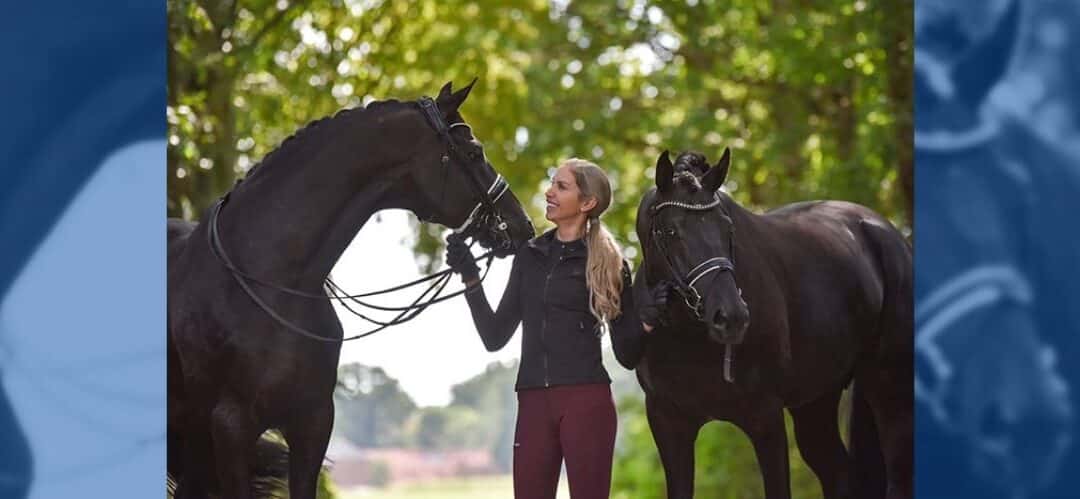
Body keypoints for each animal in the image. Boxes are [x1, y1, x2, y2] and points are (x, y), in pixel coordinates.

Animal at [630, 149, 911, 499]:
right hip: (816, 402)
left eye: (727, 228)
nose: (731, 317)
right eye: (670, 232)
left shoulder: (765, 419)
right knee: (840, 474)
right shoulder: (669, 423)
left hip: (889, 388)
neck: (689, 339)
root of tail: (885, 232)